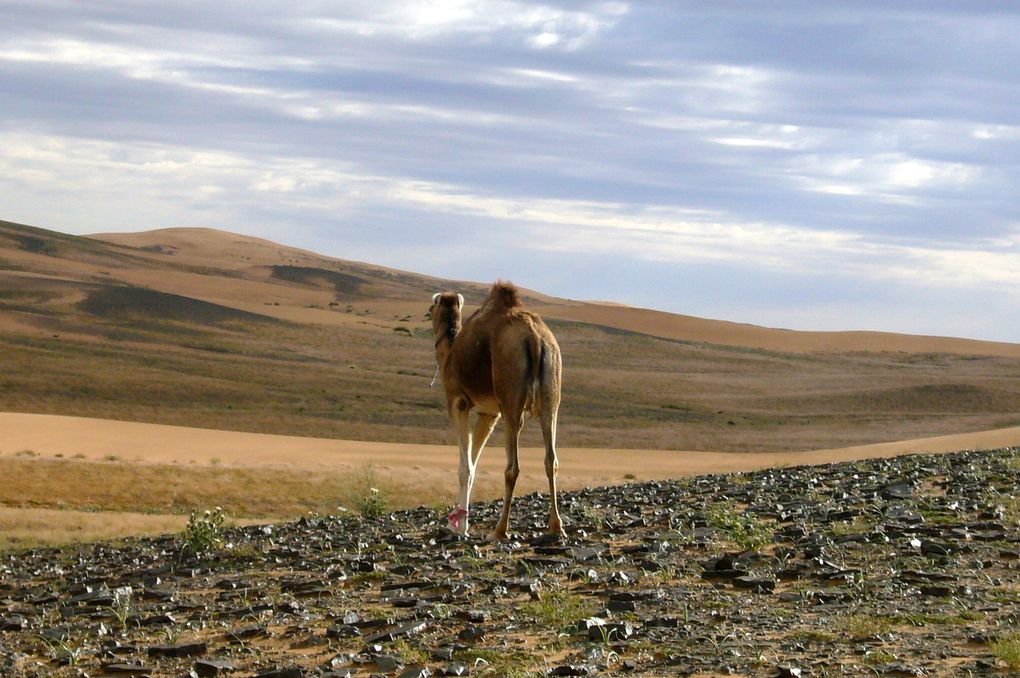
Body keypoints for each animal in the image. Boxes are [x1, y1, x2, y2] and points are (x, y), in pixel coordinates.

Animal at [430, 279, 567, 538]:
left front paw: (459, 527)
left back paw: (500, 530)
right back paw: (556, 526)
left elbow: (465, 467)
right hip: (551, 387)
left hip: (510, 393)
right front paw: (460, 522)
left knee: (512, 467)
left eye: (431, 306)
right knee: (551, 458)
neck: (449, 354)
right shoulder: (489, 413)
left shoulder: (457, 402)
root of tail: (535, 338)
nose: (428, 313)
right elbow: (473, 464)